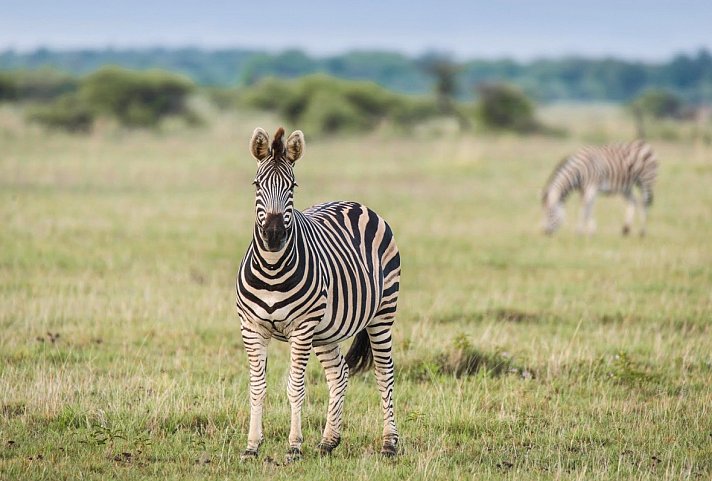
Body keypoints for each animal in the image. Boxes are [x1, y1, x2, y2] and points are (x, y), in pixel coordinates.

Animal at [235, 126, 398, 462]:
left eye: (292, 185)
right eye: (257, 184)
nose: (273, 235)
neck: (272, 268)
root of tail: (354, 203)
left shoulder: (302, 328)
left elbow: (295, 386)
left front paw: (294, 447)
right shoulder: (251, 327)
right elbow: (257, 387)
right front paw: (252, 446)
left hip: (382, 314)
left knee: (384, 373)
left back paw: (389, 444)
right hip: (326, 330)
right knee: (339, 374)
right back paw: (328, 441)